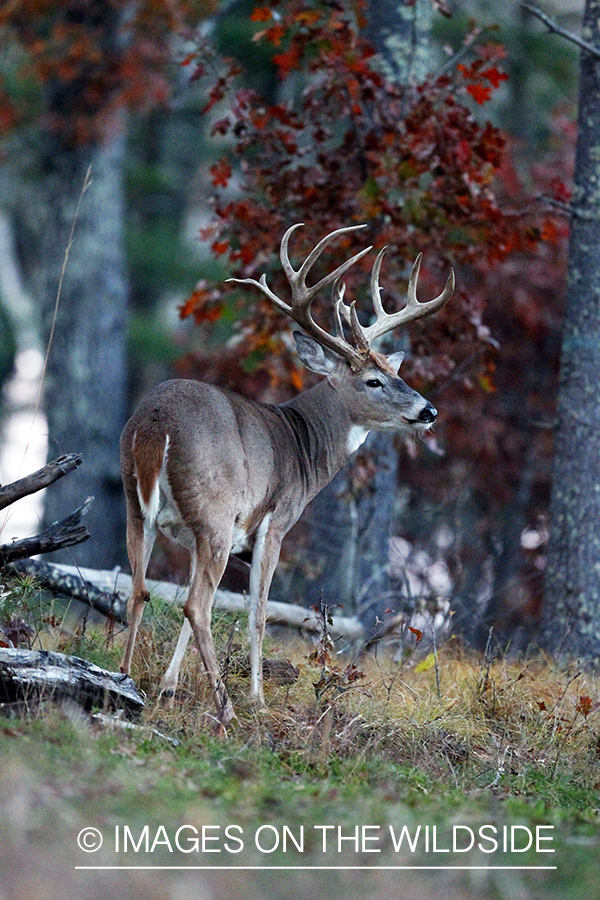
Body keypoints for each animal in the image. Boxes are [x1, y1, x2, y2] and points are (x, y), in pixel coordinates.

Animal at [118, 223, 454, 724]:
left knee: (140, 590)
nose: (428, 410)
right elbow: (257, 613)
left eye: (394, 373)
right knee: (198, 605)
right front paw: (256, 698)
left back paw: (121, 682)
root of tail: (155, 423)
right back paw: (228, 709)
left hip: (137, 507)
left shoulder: (195, 535)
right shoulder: (272, 523)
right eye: (372, 381)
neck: (303, 446)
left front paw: (167, 687)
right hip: (215, 511)